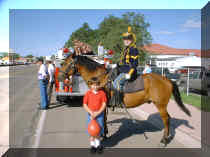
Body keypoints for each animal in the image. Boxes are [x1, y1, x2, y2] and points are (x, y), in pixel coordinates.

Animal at [57, 54, 190, 146]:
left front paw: (103, 135)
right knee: (168, 119)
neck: (99, 78)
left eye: (67, 63)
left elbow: (102, 119)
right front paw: (105, 134)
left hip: (160, 105)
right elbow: (104, 119)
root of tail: (168, 80)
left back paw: (164, 140)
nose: (59, 76)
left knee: (166, 120)